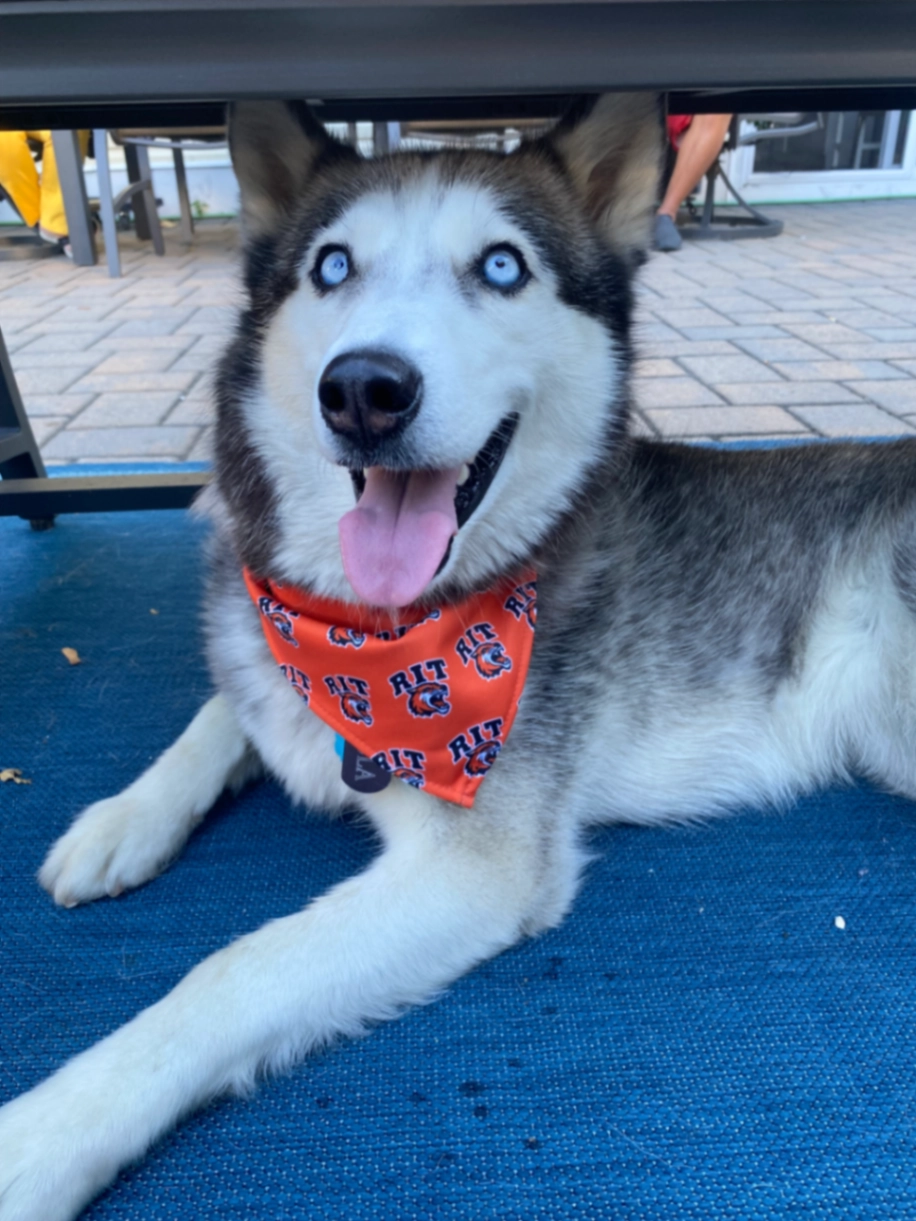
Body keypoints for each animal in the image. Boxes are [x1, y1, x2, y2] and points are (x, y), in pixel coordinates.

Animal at [3, 93, 916, 1220]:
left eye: (502, 266)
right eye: (332, 265)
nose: (364, 388)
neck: (374, 641)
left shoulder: (471, 870)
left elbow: (234, 971)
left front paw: (46, 1132)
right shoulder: (270, 648)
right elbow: (223, 708)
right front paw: (122, 820)